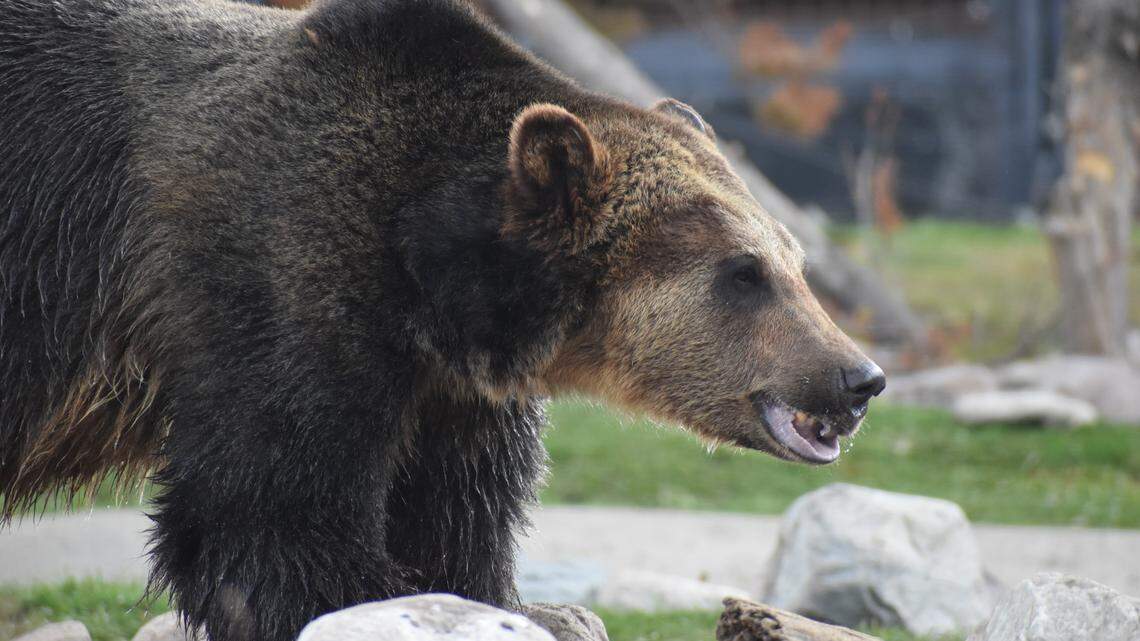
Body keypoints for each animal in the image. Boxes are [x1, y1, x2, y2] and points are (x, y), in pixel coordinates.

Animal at [0, 0, 886, 640]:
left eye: (796, 261)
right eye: (743, 272)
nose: (859, 377)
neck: (428, 279)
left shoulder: (452, 395)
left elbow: (459, 518)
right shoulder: (277, 289)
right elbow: (265, 521)